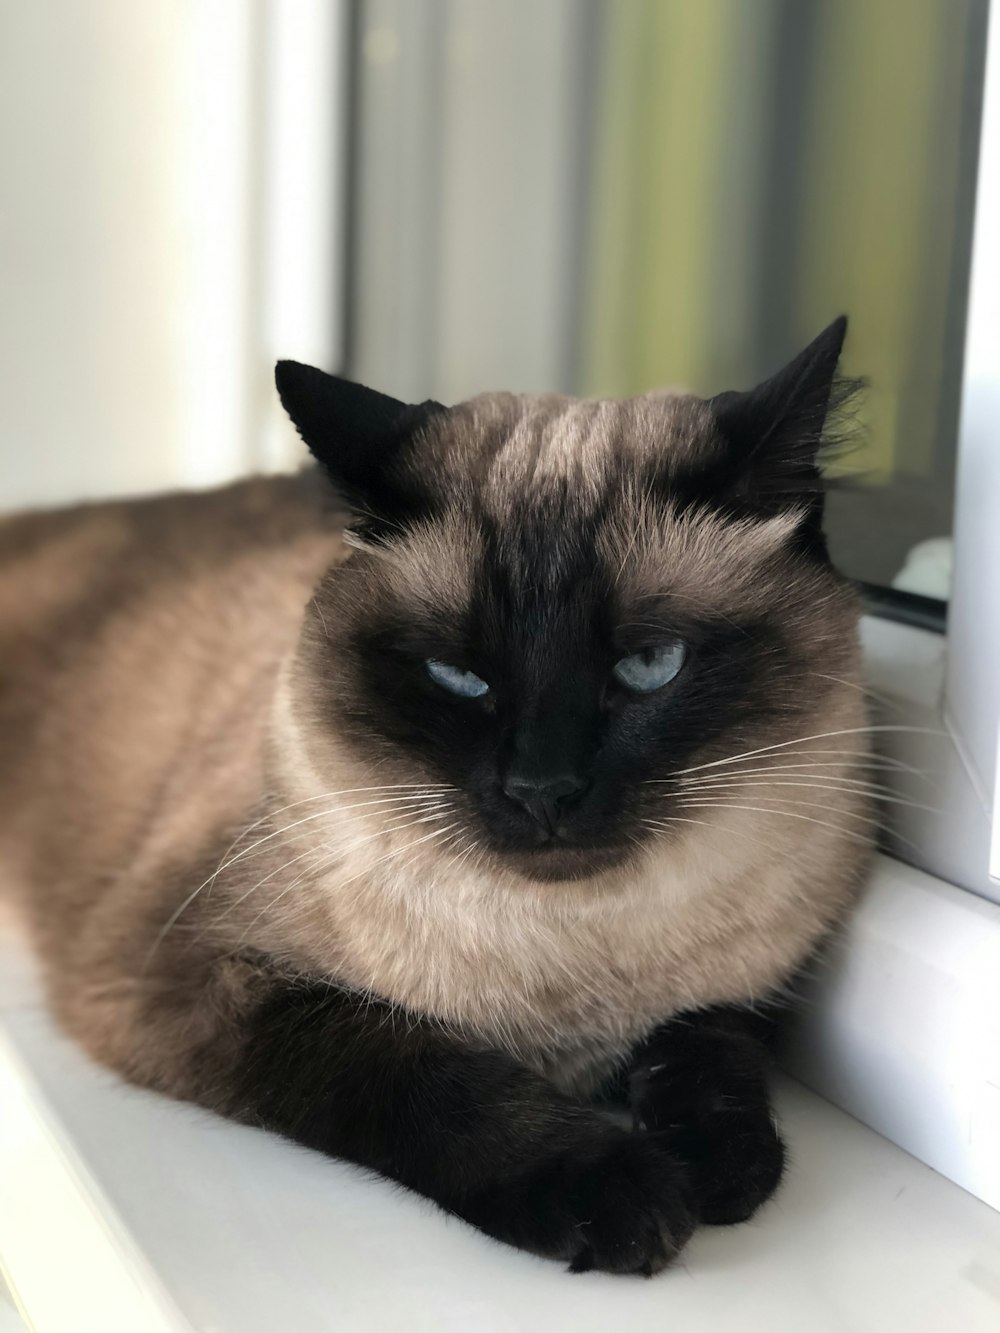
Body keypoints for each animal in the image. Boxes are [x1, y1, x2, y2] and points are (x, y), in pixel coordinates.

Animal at [0, 317, 874, 1274]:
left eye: (650, 664)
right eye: (457, 677)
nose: (543, 789)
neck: (578, 965)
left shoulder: (743, 987)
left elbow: (709, 1046)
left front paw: (719, 1168)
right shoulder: (204, 981)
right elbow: (423, 1073)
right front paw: (620, 1188)